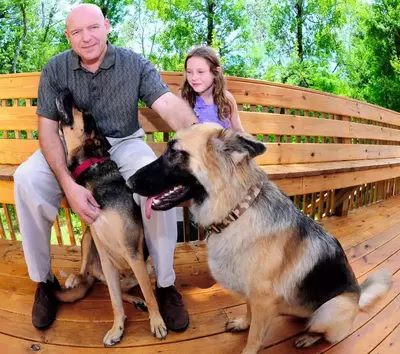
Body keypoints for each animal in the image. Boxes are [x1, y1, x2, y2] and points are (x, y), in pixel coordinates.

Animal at [53, 90, 167, 348]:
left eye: (82, 111)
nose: (65, 91)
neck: (93, 172)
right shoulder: (106, 258)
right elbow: (114, 302)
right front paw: (117, 328)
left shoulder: (132, 253)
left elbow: (149, 293)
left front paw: (156, 322)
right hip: (87, 240)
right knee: (87, 275)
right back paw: (75, 279)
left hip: (144, 265)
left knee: (136, 287)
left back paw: (137, 300)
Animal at [127, 122, 390, 354]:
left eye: (174, 152)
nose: (129, 183)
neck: (237, 211)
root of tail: (357, 298)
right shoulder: (252, 295)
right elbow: (250, 313)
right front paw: (243, 323)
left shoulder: (262, 299)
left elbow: (255, 336)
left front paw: (248, 347)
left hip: (330, 309)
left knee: (320, 329)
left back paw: (309, 337)